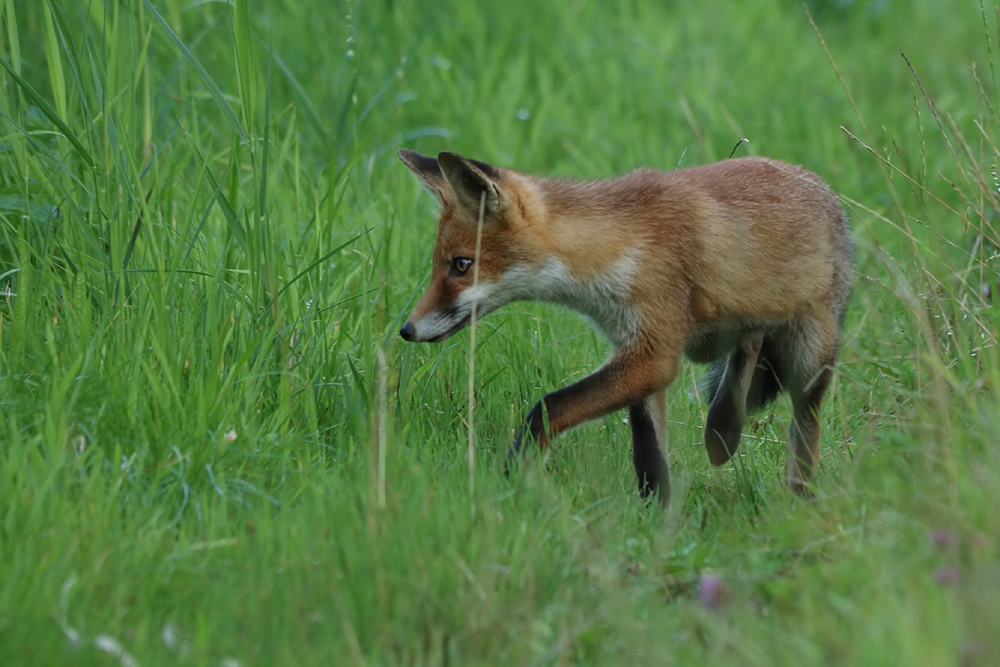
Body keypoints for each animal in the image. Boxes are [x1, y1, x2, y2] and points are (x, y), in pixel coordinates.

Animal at [396, 151, 852, 504]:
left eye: (461, 265)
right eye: (440, 265)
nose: (406, 330)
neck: (619, 249)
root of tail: (824, 187)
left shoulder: (653, 355)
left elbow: (546, 409)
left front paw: (511, 479)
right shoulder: (634, 350)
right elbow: (648, 454)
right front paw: (657, 519)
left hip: (810, 361)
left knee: (805, 429)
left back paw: (799, 500)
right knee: (747, 347)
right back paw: (723, 430)